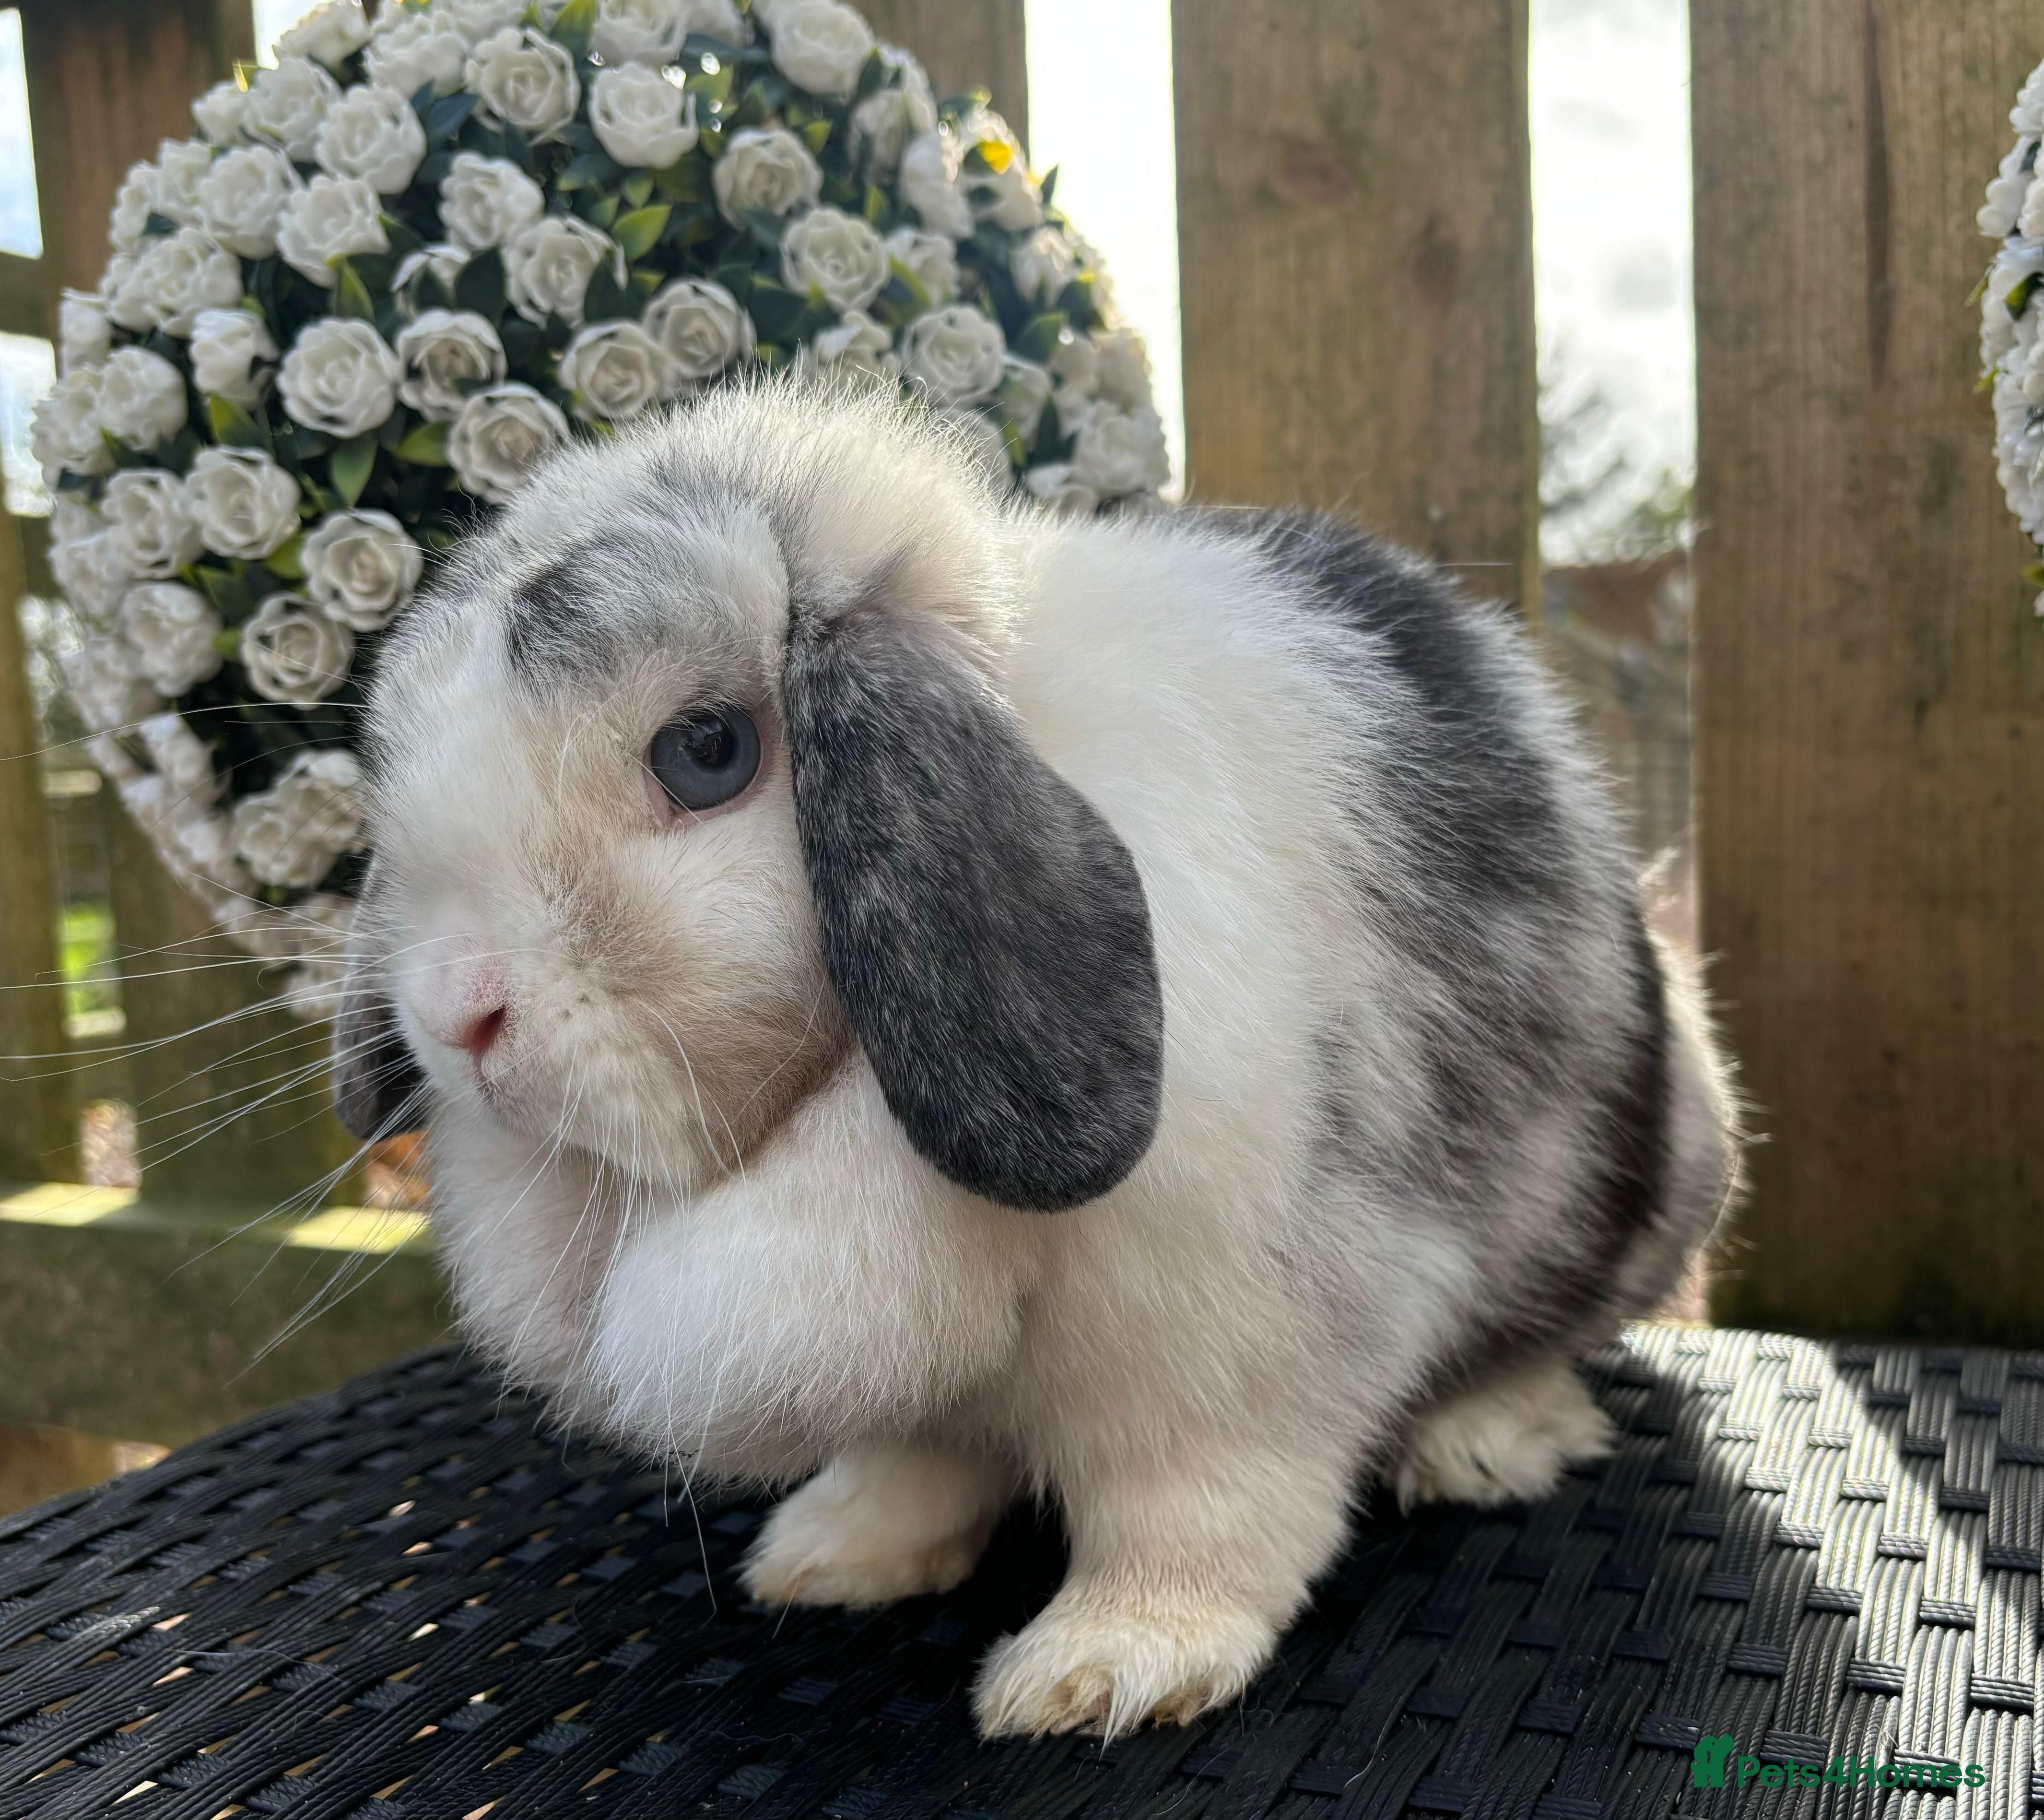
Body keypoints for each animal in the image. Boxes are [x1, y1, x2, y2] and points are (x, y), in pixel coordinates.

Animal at [333, 375, 1738, 1741]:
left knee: (1542, 1338)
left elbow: (1198, 1512)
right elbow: (914, 1466)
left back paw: (1478, 1444)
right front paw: (832, 1554)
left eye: (707, 749)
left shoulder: (1233, 1350)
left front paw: (1105, 1668)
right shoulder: (926, 1394)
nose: (457, 1013)